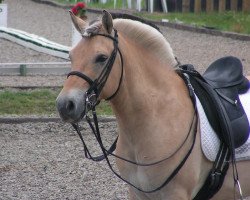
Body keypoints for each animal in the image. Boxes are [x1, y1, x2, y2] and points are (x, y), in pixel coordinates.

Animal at [56, 10, 250, 199]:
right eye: (71, 56)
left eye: (101, 57)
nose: (65, 105)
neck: (158, 115)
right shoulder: (137, 193)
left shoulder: (176, 194)